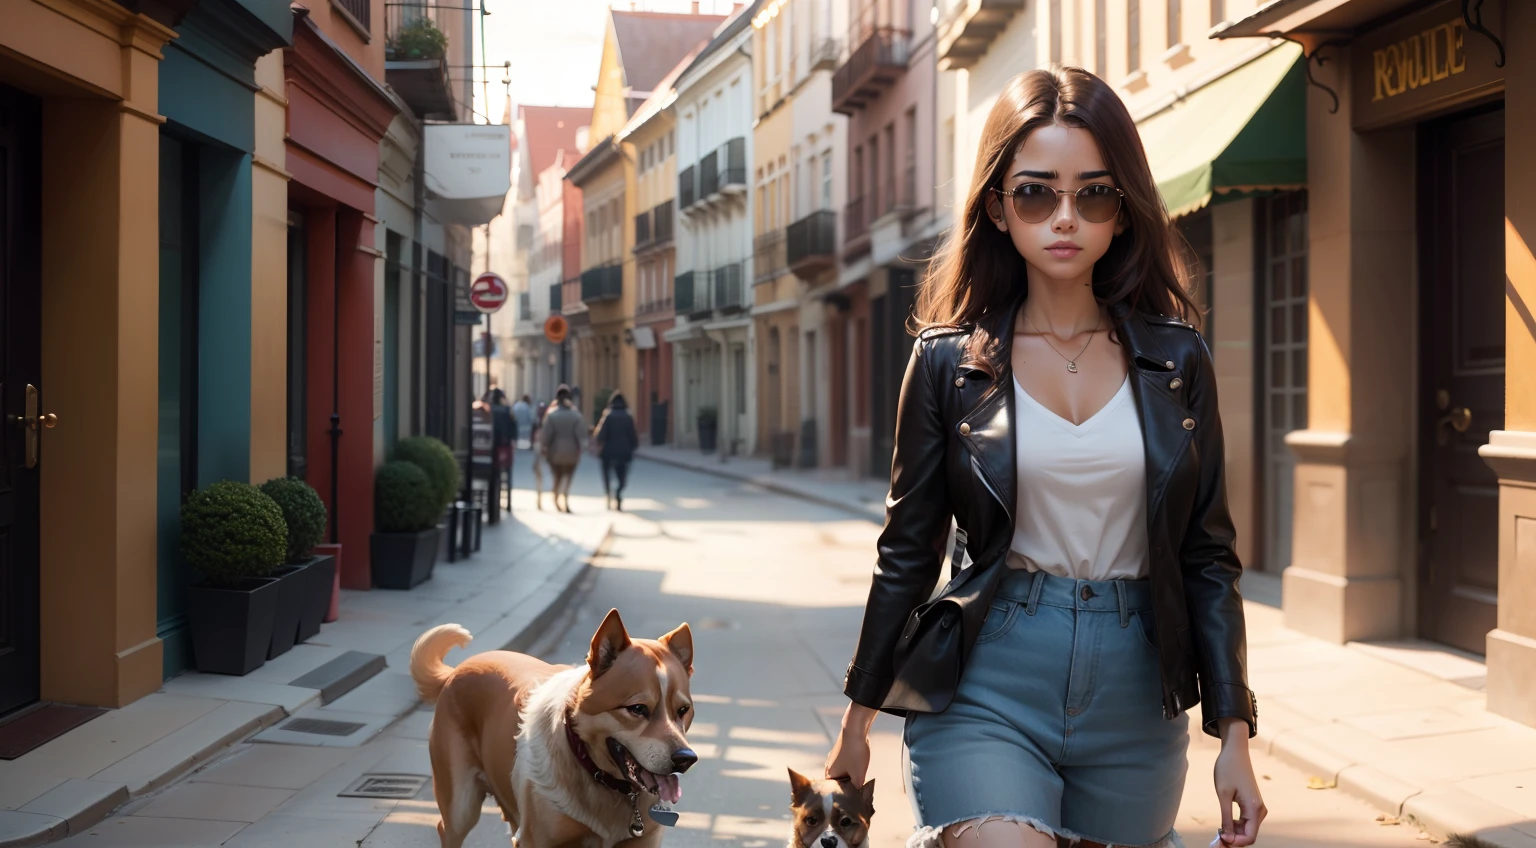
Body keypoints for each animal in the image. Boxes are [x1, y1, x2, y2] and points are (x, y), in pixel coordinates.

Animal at [408, 608, 697, 848]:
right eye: (637, 708)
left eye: (683, 710)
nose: (685, 759)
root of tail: (456, 671)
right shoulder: (538, 840)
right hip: (461, 806)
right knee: (448, 827)